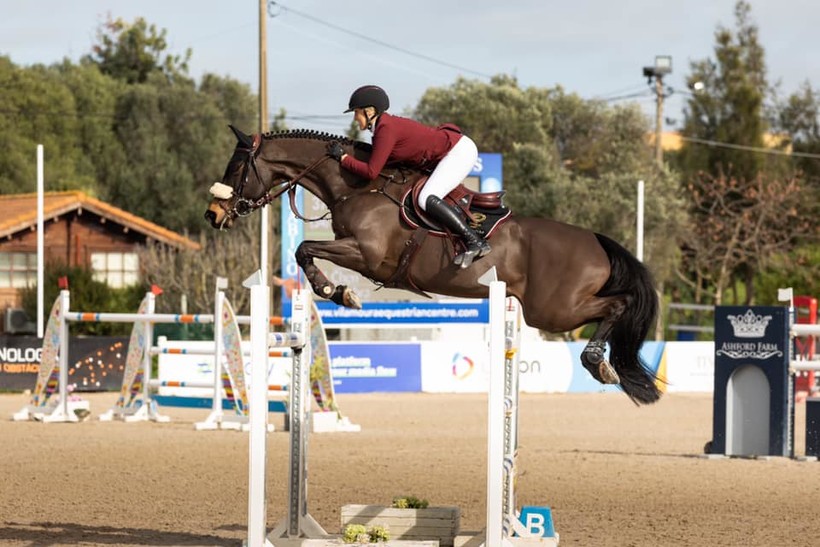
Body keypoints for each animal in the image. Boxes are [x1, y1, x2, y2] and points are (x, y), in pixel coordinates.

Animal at [208, 126, 664, 404]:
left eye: (236, 167)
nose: (213, 216)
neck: (358, 185)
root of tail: (597, 240)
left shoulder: (366, 255)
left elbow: (305, 250)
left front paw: (336, 291)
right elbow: (306, 251)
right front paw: (336, 290)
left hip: (552, 309)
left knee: (619, 305)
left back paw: (596, 361)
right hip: (551, 308)